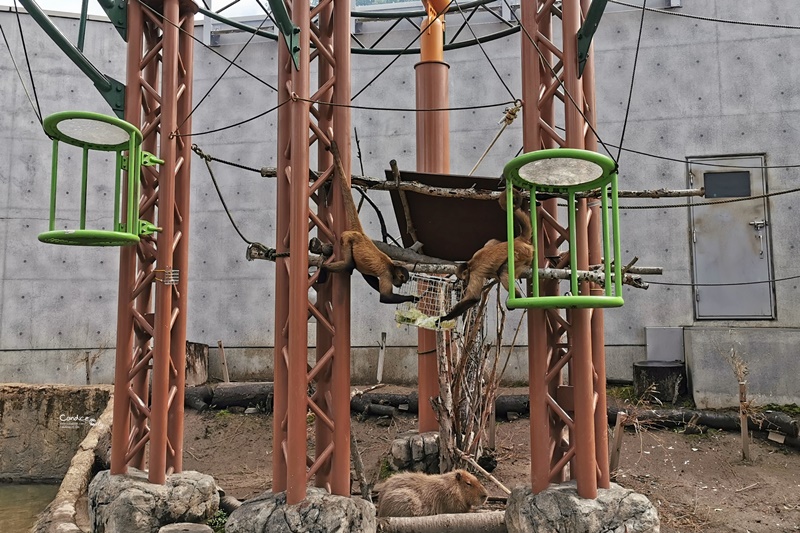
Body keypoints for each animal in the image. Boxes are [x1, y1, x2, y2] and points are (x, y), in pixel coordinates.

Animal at [318, 141, 418, 304]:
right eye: (402, 281)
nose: (399, 285)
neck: (392, 266)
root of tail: (361, 233)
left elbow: (367, 276)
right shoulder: (386, 274)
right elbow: (385, 297)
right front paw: (411, 297)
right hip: (347, 238)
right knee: (349, 265)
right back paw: (325, 268)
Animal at [438, 189, 532, 322]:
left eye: (464, 279)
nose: (465, 282)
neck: (470, 264)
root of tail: (518, 240)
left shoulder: (474, 273)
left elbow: (474, 298)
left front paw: (444, 318)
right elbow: (492, 242)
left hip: (521, 254)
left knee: (502, 271)